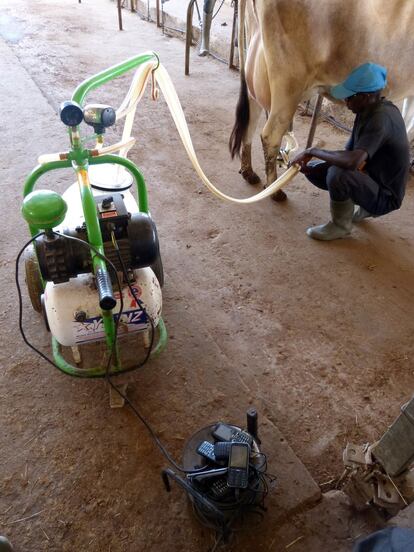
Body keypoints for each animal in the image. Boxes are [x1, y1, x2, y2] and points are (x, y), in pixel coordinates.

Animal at [230, 0, 414, 202]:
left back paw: (249, 172)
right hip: (288, 83)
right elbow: (409, 128)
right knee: (271, 135)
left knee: (250, 120)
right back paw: (275, 191)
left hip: (255, 64)